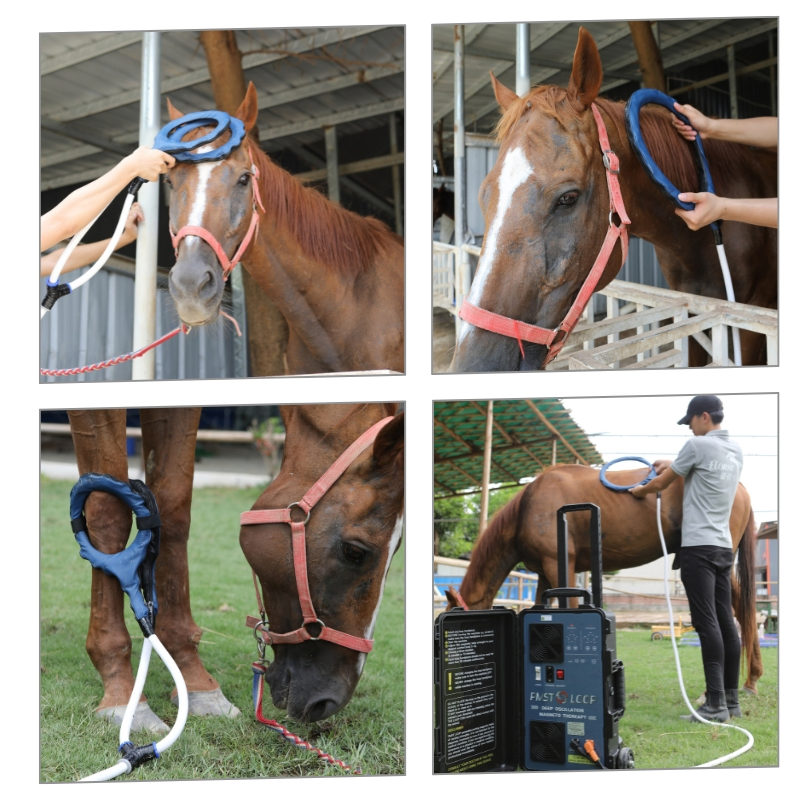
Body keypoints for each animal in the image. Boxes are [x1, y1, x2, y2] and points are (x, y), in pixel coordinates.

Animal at [65, 402, 404, 732]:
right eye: (355, 552)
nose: (330, 701)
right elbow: (108, 512)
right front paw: (122, 695)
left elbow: (174, 506)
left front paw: (196, 682)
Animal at [449, 27, 777, 372]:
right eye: (484, 196)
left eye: (567, 198)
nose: (473, 365)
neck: (701, 244)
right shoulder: (693, 314)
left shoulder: (750, 323)